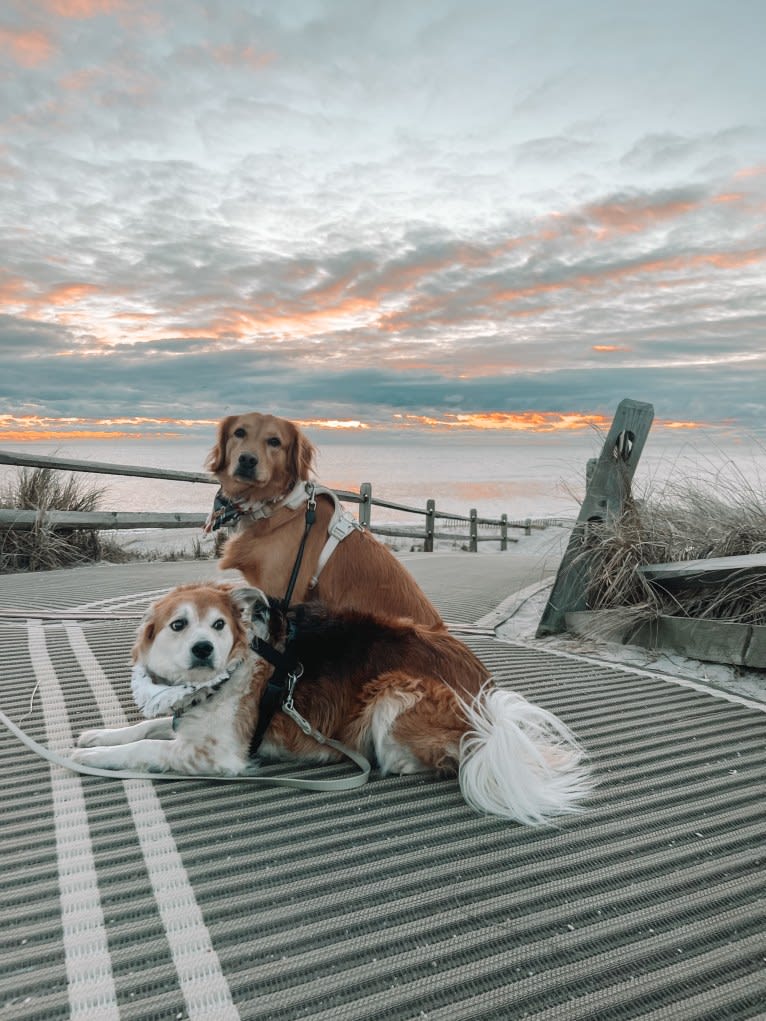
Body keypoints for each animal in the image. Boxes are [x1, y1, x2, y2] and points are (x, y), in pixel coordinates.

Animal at [75, 584, 592, 820]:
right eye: (178, 625)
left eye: (218, 625)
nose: (204, 650)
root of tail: (488, 711)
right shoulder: (190, 723)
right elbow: (143, 729)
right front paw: (97, 736)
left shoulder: (216, 754)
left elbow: (144, 747)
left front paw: (95, 758)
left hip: (394, 691)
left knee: (443, 757)